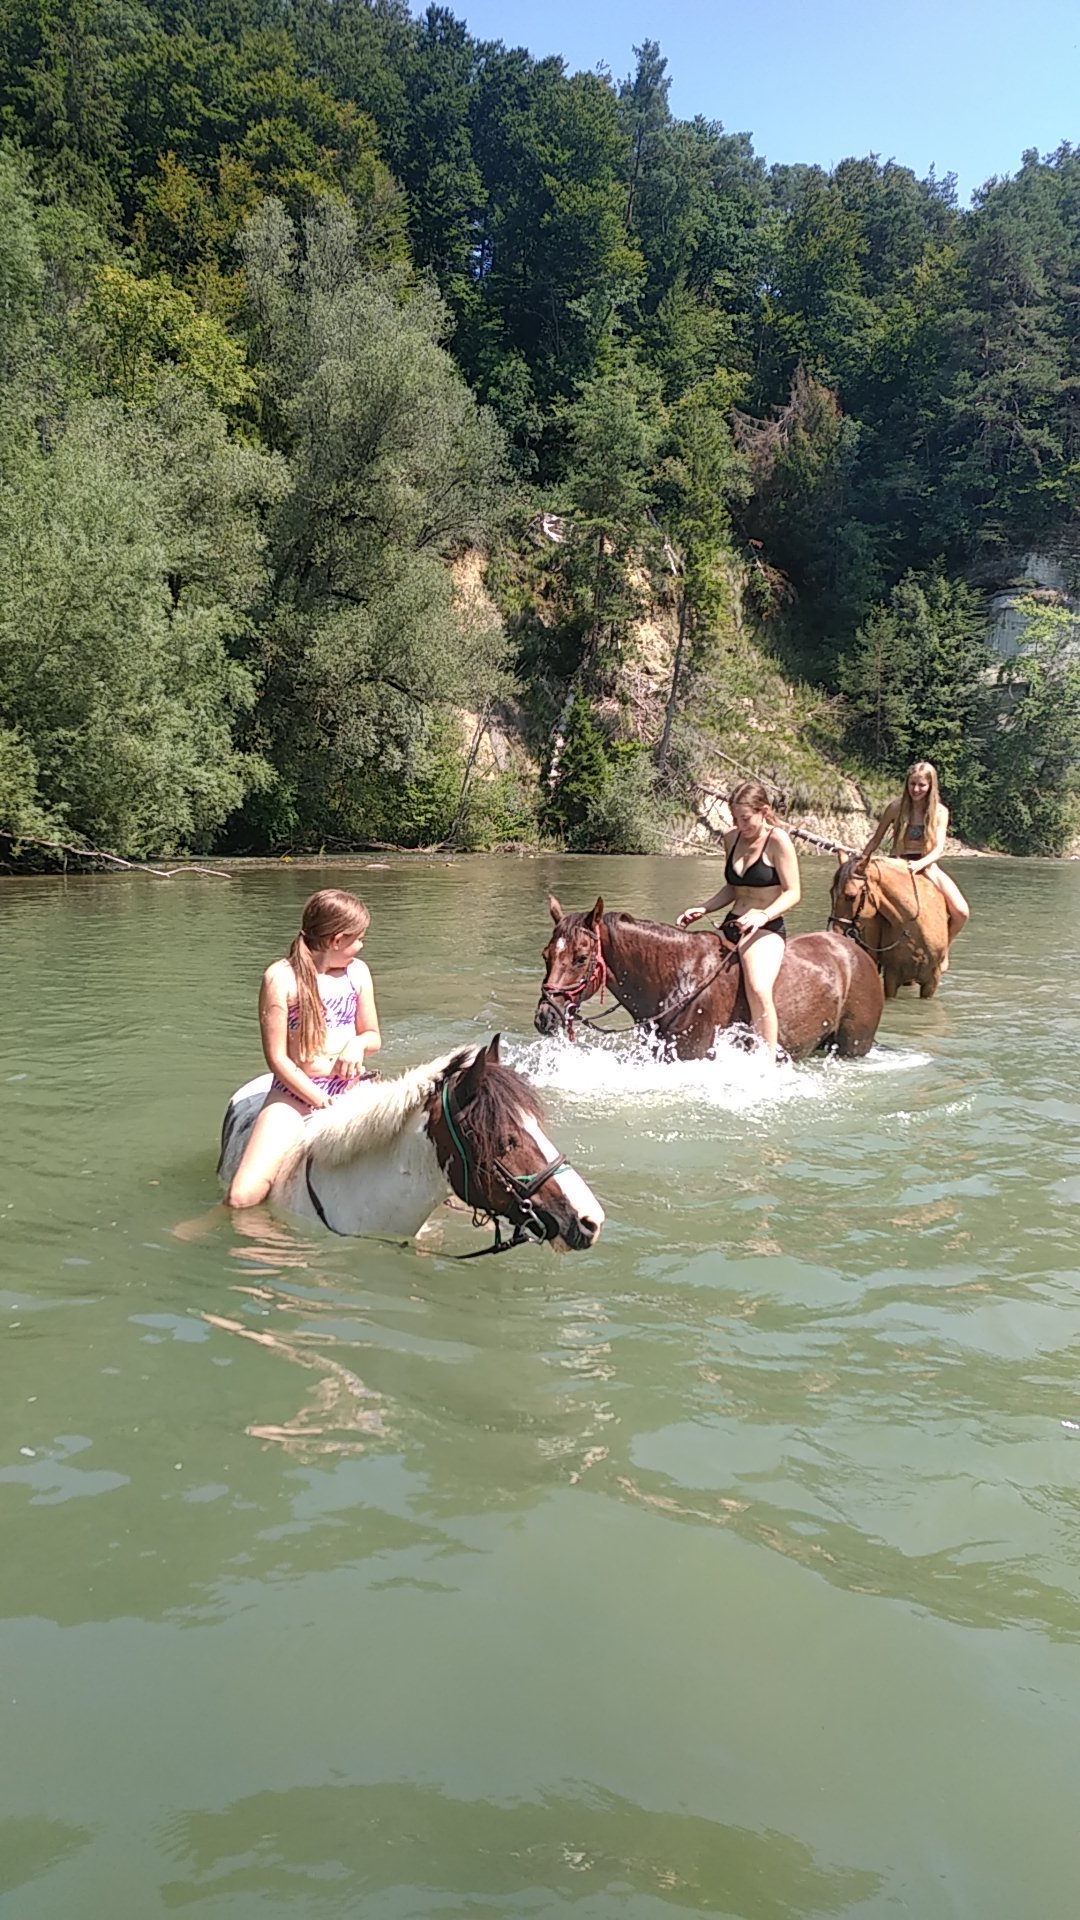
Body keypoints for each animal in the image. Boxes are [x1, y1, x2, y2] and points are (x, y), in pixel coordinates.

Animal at [535, 896, 884, 1062]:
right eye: (546, 954)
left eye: (581, 958)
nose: (544, 1017)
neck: (677, 980)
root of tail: (855, 951)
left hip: (854, 1044)